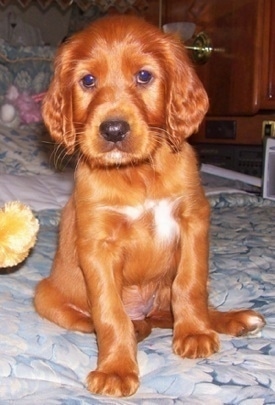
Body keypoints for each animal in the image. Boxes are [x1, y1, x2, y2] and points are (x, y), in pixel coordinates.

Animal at [34, 15, 266, 394]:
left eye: (144, 76)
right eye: (87, 80)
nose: (113, 130)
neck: (137, 173)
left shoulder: (193, 219)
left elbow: (191, 285)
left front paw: (195, 333)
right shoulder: (97, 244)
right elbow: (110, 313)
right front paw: (116, 369)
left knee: (174, 308)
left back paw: (230, 319)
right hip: (45, 295)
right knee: (110, 321)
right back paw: (138, 328)